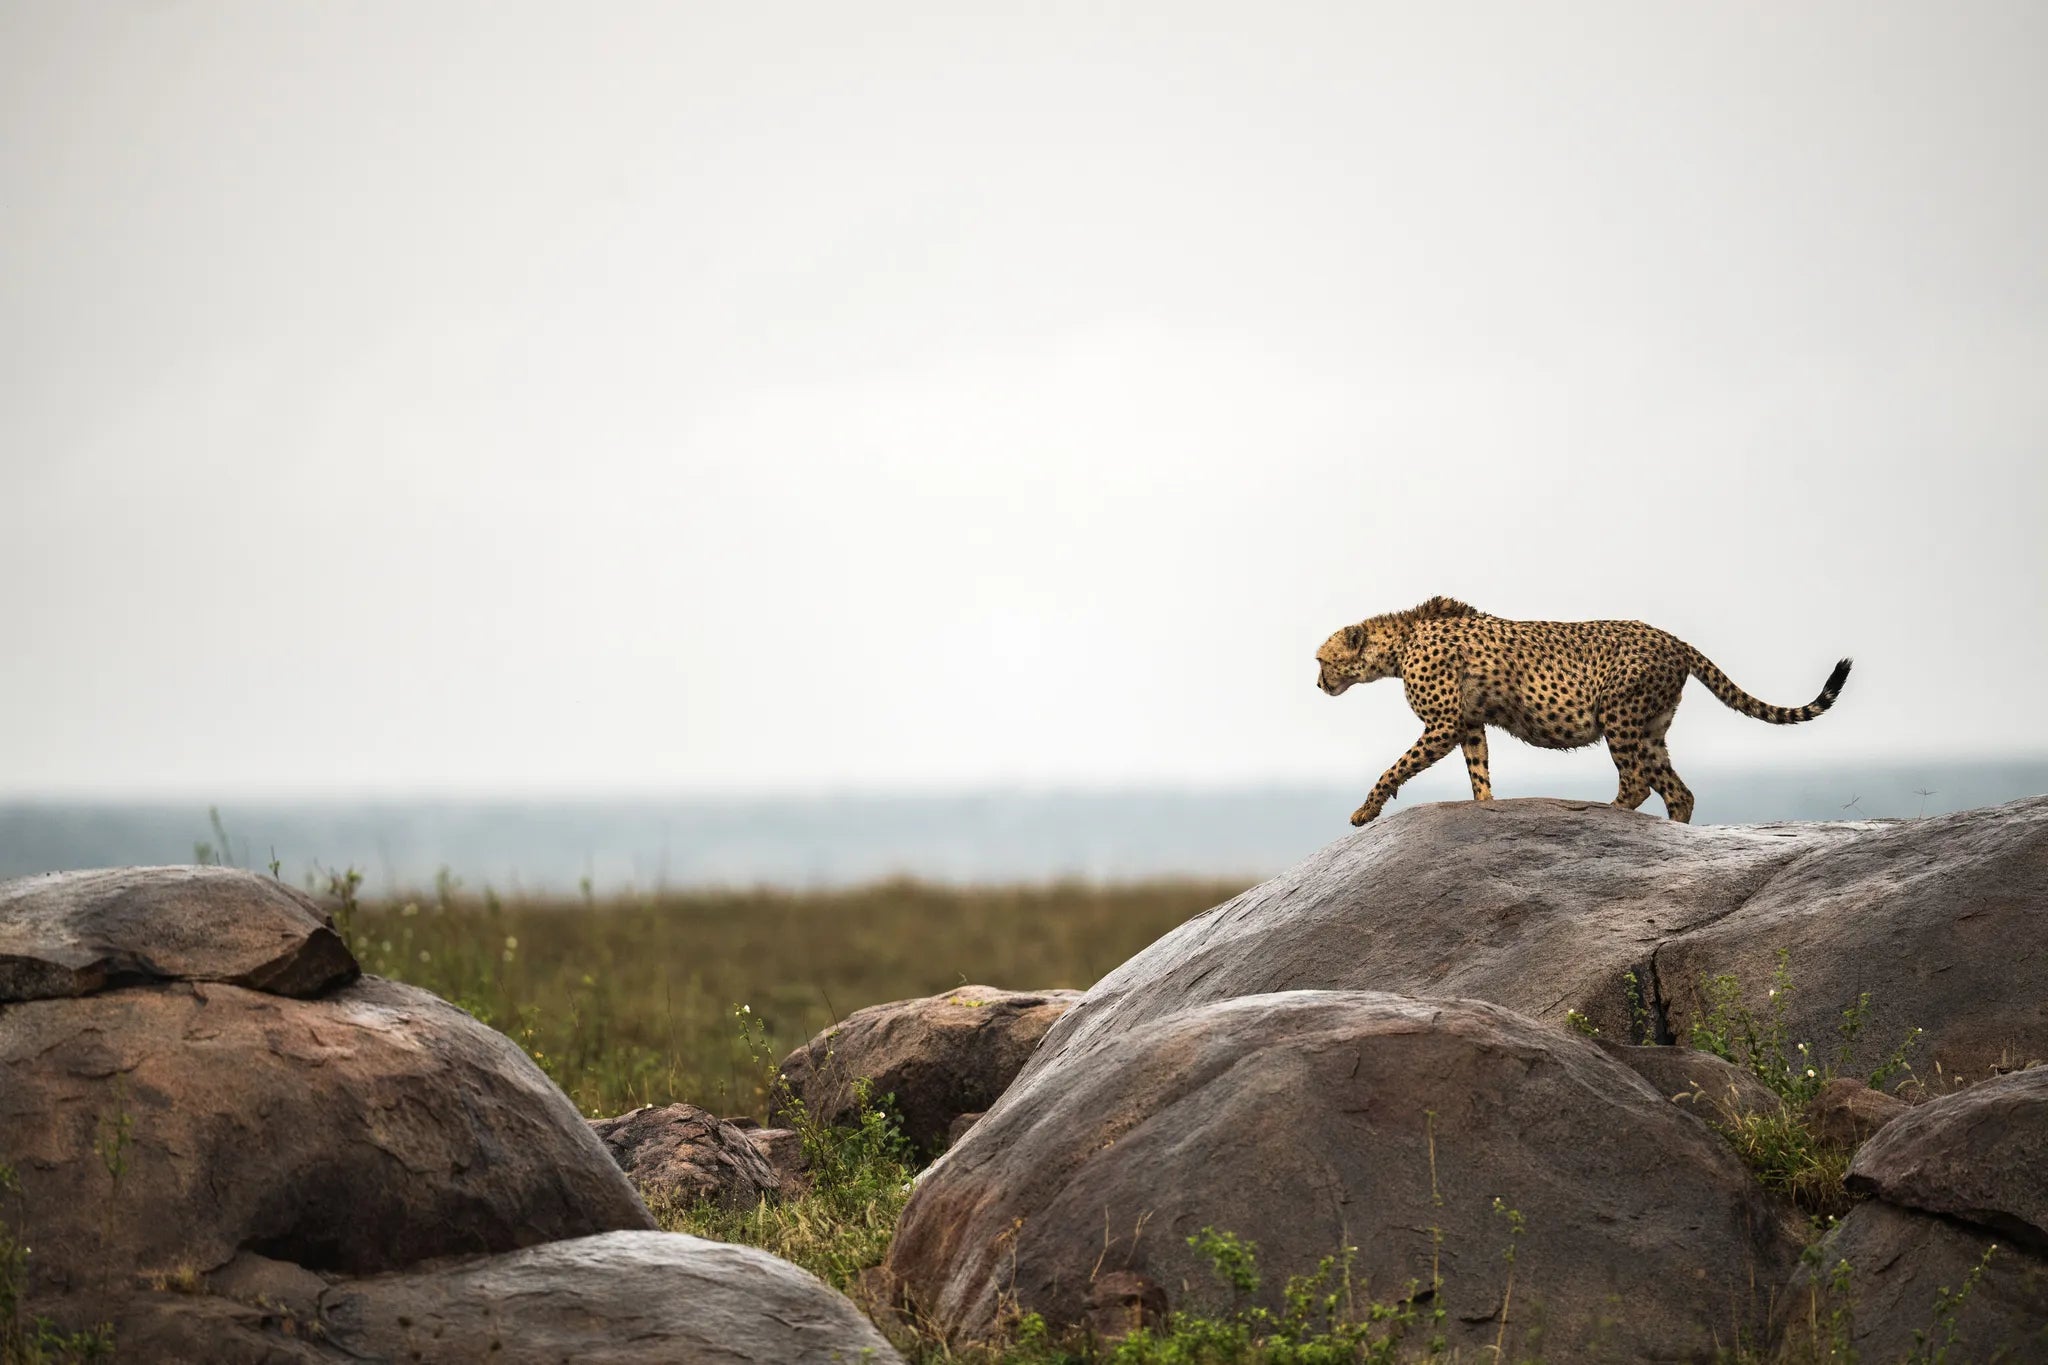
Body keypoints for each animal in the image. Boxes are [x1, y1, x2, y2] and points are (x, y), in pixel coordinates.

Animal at [1315, 595, 1851, 826]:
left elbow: (1394, 768)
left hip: (1620, 716)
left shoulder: (1444, 724)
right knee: (1678, 791)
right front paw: (1486, 806)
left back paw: (1604, 811)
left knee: (1636, 783)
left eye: (1321, 660)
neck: (1400, 642)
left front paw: (1364, 811)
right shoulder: (1467, 724)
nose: (1318, 683)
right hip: (1651, 729)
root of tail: (1671, 637)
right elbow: (1479, 772)